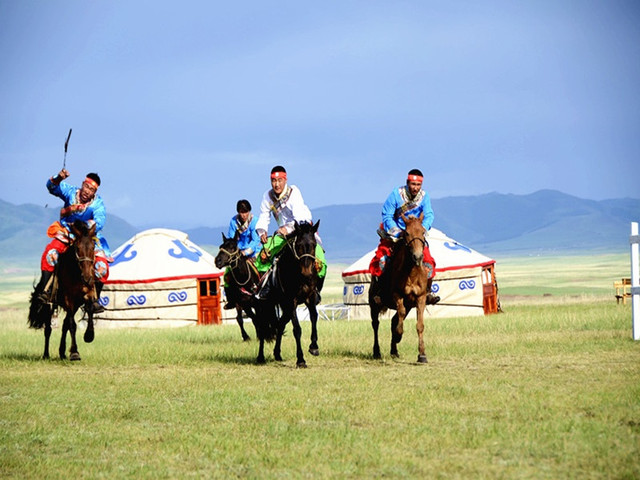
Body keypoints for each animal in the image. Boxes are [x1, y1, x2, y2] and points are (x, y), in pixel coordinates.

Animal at [28, 221, 99, 360]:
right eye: (77, 248)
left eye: (93, 247)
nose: (87, 278)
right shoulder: (69, 299)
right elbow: (72, 325)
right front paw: (75, 352)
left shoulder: (87, 295)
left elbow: (90, 310)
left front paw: (89, 335)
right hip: (49, 305)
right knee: (48, 329)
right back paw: (46, 354)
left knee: (64, 324)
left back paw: (62, 352)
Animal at [256, 221, 322, 368]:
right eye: (298, 245)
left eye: (314, 244)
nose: (307, 272)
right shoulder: (292, 301)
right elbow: (297, 329)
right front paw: (301, 360)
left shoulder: (310, 298)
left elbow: (314, 318)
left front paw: (314, 347)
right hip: (265, 307)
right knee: (263, 329)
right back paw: (260, 357)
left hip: (284, 309)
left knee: (280, 325)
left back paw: (277, 354)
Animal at [368, 214, 438, 364]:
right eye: (406, 233)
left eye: (422, 232)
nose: (417, 257)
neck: (411, 272)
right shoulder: (397, 295)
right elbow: (400, 315)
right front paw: (399, 335)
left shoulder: (421, 298)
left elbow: (419, 325)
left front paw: (422, 355)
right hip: (374, 304)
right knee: (376, 324)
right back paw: (377, 352)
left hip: (409, 305)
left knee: (394, 320)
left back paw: (394, 351)